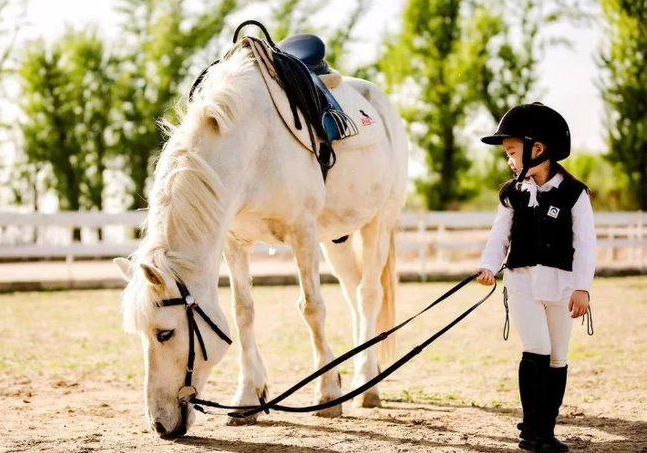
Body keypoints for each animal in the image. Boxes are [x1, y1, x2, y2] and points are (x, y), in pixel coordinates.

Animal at [116, 44, 408, 436]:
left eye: (164, 333)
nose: (161, 425)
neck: (253, 146)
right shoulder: (235, 241)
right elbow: (243, 313)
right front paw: (246, 398)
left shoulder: (303, 234)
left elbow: (312, 309)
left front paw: (329, 393)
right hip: (338, 239)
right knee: (354, 292)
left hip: (377, 223)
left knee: (369, 294)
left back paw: (367, 383)